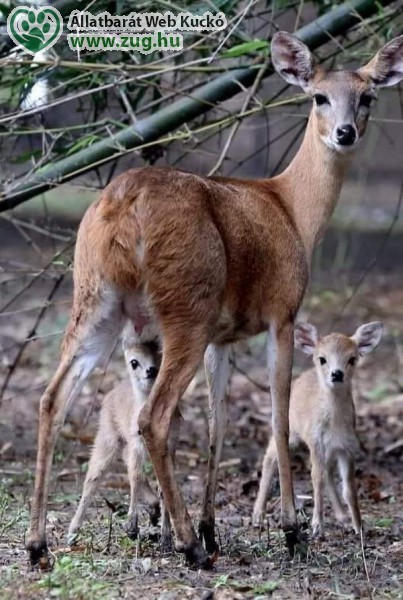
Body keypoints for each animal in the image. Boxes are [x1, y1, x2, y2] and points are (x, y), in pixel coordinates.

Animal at [254, 322, 384, 536]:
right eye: (322, 359)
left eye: (352, 358)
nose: (337, 373)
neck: (335, 425)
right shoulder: (315, 441)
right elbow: (316, 479)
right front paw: (317, 526)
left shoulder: (348, 447)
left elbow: (349, 487)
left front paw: (359, 526)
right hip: (291, 432)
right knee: (270, 458)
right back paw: (258, 515)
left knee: (329, 474)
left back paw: (342, 517)